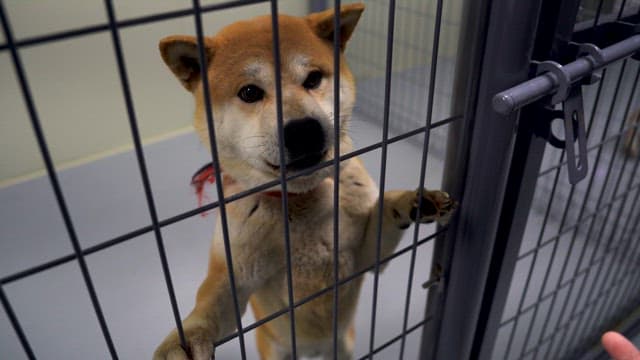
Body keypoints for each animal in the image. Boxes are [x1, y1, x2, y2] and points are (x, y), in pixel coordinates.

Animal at [154, 4, 456, 358]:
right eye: (249, 92)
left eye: (313, 79)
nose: (304, 130)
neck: (301, 204)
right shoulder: (233, 277)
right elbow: (208, 309)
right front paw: (181, 343)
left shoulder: (365, 258)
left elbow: (385, 208)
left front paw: (412, 201)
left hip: (342, 345)